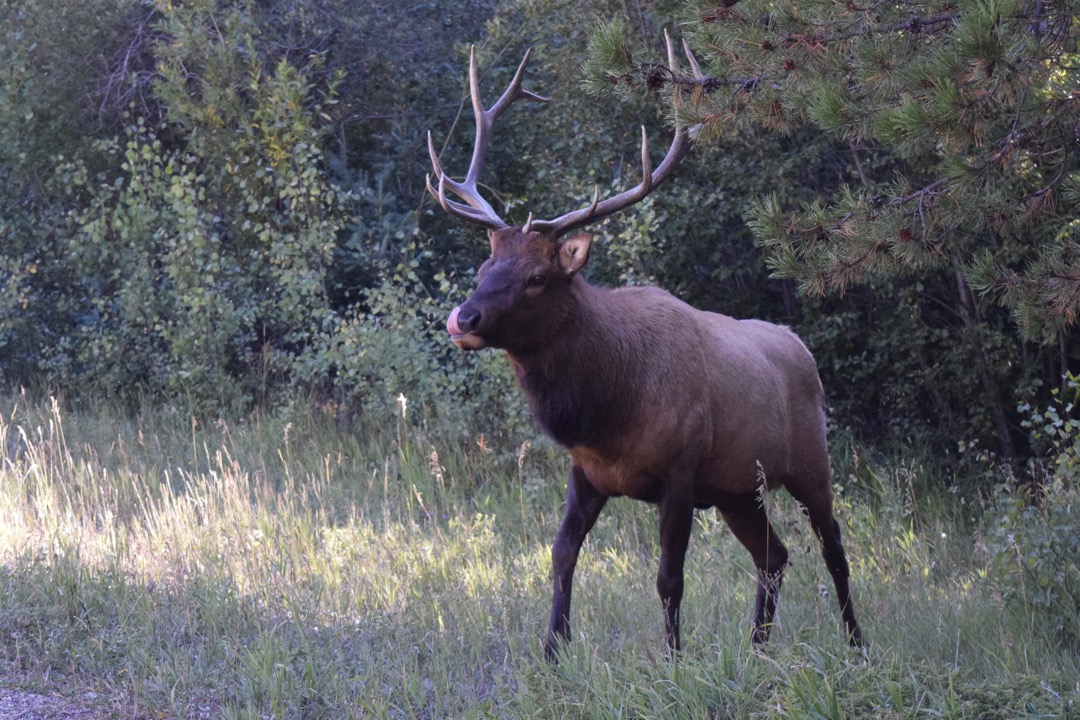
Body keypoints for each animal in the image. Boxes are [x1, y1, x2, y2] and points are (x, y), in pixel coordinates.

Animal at [425, 38, 864, 660]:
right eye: (486, 267)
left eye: (537, 277)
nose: (463, 317)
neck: (608, 407)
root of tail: (803, 351)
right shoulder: (587, 473)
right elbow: (561, 555)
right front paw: (552, 653)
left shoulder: (680, 473)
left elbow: (668, 578)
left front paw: (673, 658)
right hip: (739, 489)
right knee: (775, 556)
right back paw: (756, 648)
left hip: (811, 462)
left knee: (834, 551)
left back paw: (856, 645)